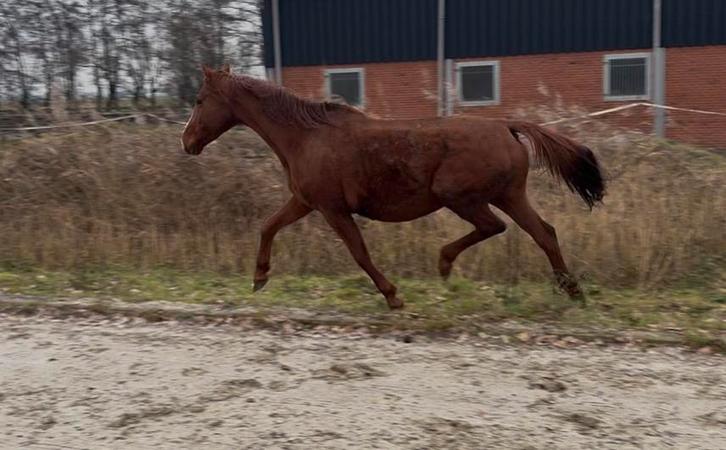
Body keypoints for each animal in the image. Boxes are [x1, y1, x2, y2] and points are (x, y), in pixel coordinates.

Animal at [181, 65, 605, 310]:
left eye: (200, 100)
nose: (186, 142)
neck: (306, 136)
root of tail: (507, 126)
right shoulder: (304, 201)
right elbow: (268, 226)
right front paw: (259, 278)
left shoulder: (332, 208)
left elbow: (360, 253)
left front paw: (393, 296)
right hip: (510, 195)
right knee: (544, 233)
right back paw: (573, 291)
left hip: (461, 196)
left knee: (495, 227)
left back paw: (445, 262)